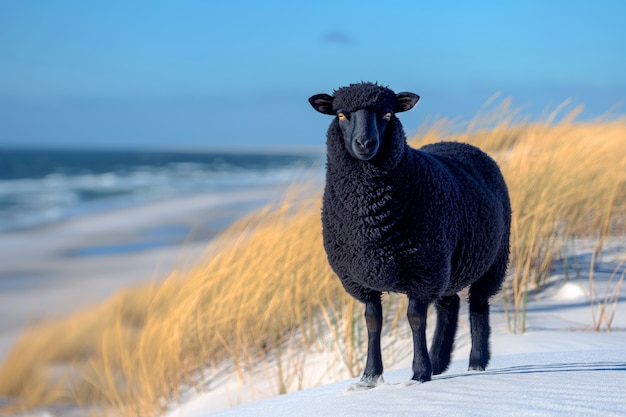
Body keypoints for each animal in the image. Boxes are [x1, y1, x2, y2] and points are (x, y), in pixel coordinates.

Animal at [308, 81, 508, 384]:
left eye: (388, 114)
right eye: (341, 115)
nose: (365, 144)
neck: (371, 219)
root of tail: (460, 143)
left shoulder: (423, 271)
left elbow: (415, 319)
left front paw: (419, 373)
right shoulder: (361, 278)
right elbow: (372, 322)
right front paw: (370, 376)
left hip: (490, 261)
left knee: (477, 305)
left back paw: (475, 362)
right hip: (448, 269)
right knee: (449, 306)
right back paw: (439, 362)